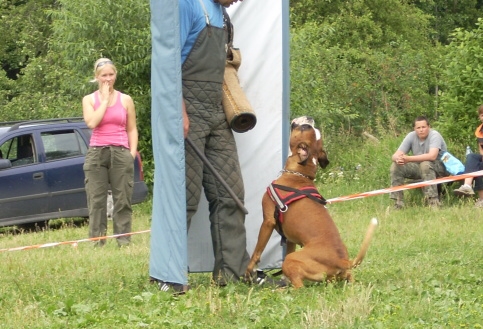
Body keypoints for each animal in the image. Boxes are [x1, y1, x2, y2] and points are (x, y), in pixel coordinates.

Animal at [246, 115, 378, 288]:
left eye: (305, 127)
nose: (310, 118)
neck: (298, 173)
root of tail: (342, 260)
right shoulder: (289, 239)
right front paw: (283, 280)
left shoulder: (268, 222)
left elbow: (257, 252)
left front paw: (249, 270)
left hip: (292, 260)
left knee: (299, 288)